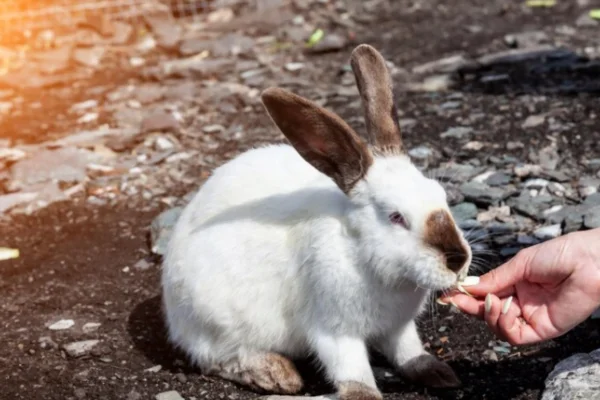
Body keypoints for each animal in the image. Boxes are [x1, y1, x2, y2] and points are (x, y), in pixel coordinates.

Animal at [161, 43, 474, 400]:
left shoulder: (398, 327)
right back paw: (276, 375)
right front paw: (362, 394)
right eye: (396, 217)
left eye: (442, 195)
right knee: (217, 357)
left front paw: (437, 373)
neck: (365, 256)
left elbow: (408, 351)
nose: (458, 260)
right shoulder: (334, 330)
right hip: (215, 319)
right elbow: (351, 370)